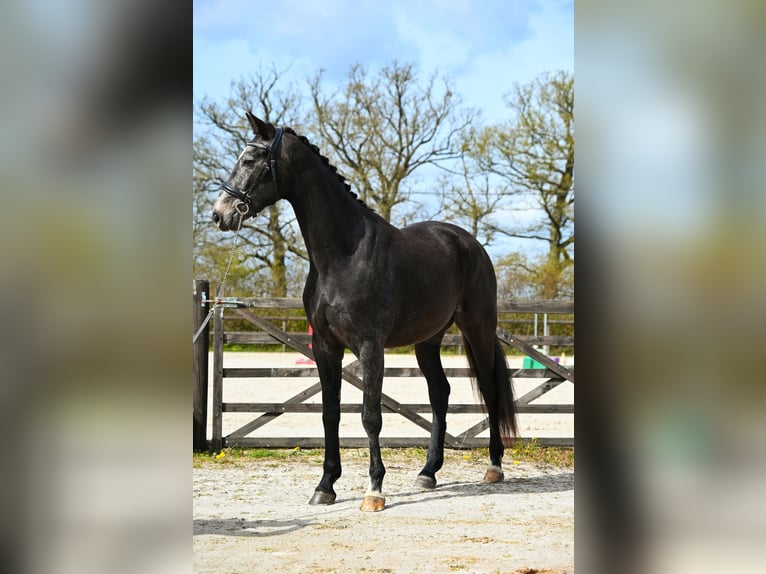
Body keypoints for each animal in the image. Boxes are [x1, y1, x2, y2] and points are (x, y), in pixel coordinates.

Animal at [212, 113, 517, 512]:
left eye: (249, 160)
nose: (220, 214)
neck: (342, 255)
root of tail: (470, 244)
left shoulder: (370, 347)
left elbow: (371, 415)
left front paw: (374, 491)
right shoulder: (325, 347)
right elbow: (330, 414)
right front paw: (326, 486)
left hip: (477, 329)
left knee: (490, 389)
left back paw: (494, 467)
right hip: (428, 340)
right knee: (440, 393)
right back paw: (428, 473)